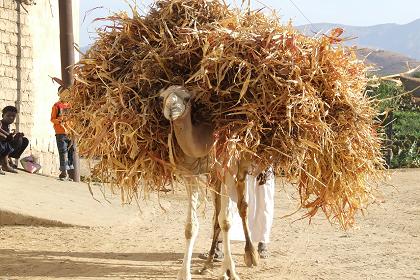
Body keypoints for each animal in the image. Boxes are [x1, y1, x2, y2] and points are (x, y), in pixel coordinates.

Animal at [161, 86, 262, 280]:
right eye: (163, 97)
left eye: (187, 98)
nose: (171, 109)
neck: (204, 140)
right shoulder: (190, 175)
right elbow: (191, 226)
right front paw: (184, 273)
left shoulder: (227, 168)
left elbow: (226, 221)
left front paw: (230, 271)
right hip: (215, 177)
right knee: (217, 211)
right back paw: (208, 261)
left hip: (241, 168)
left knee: (242, 207)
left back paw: (251, 254)